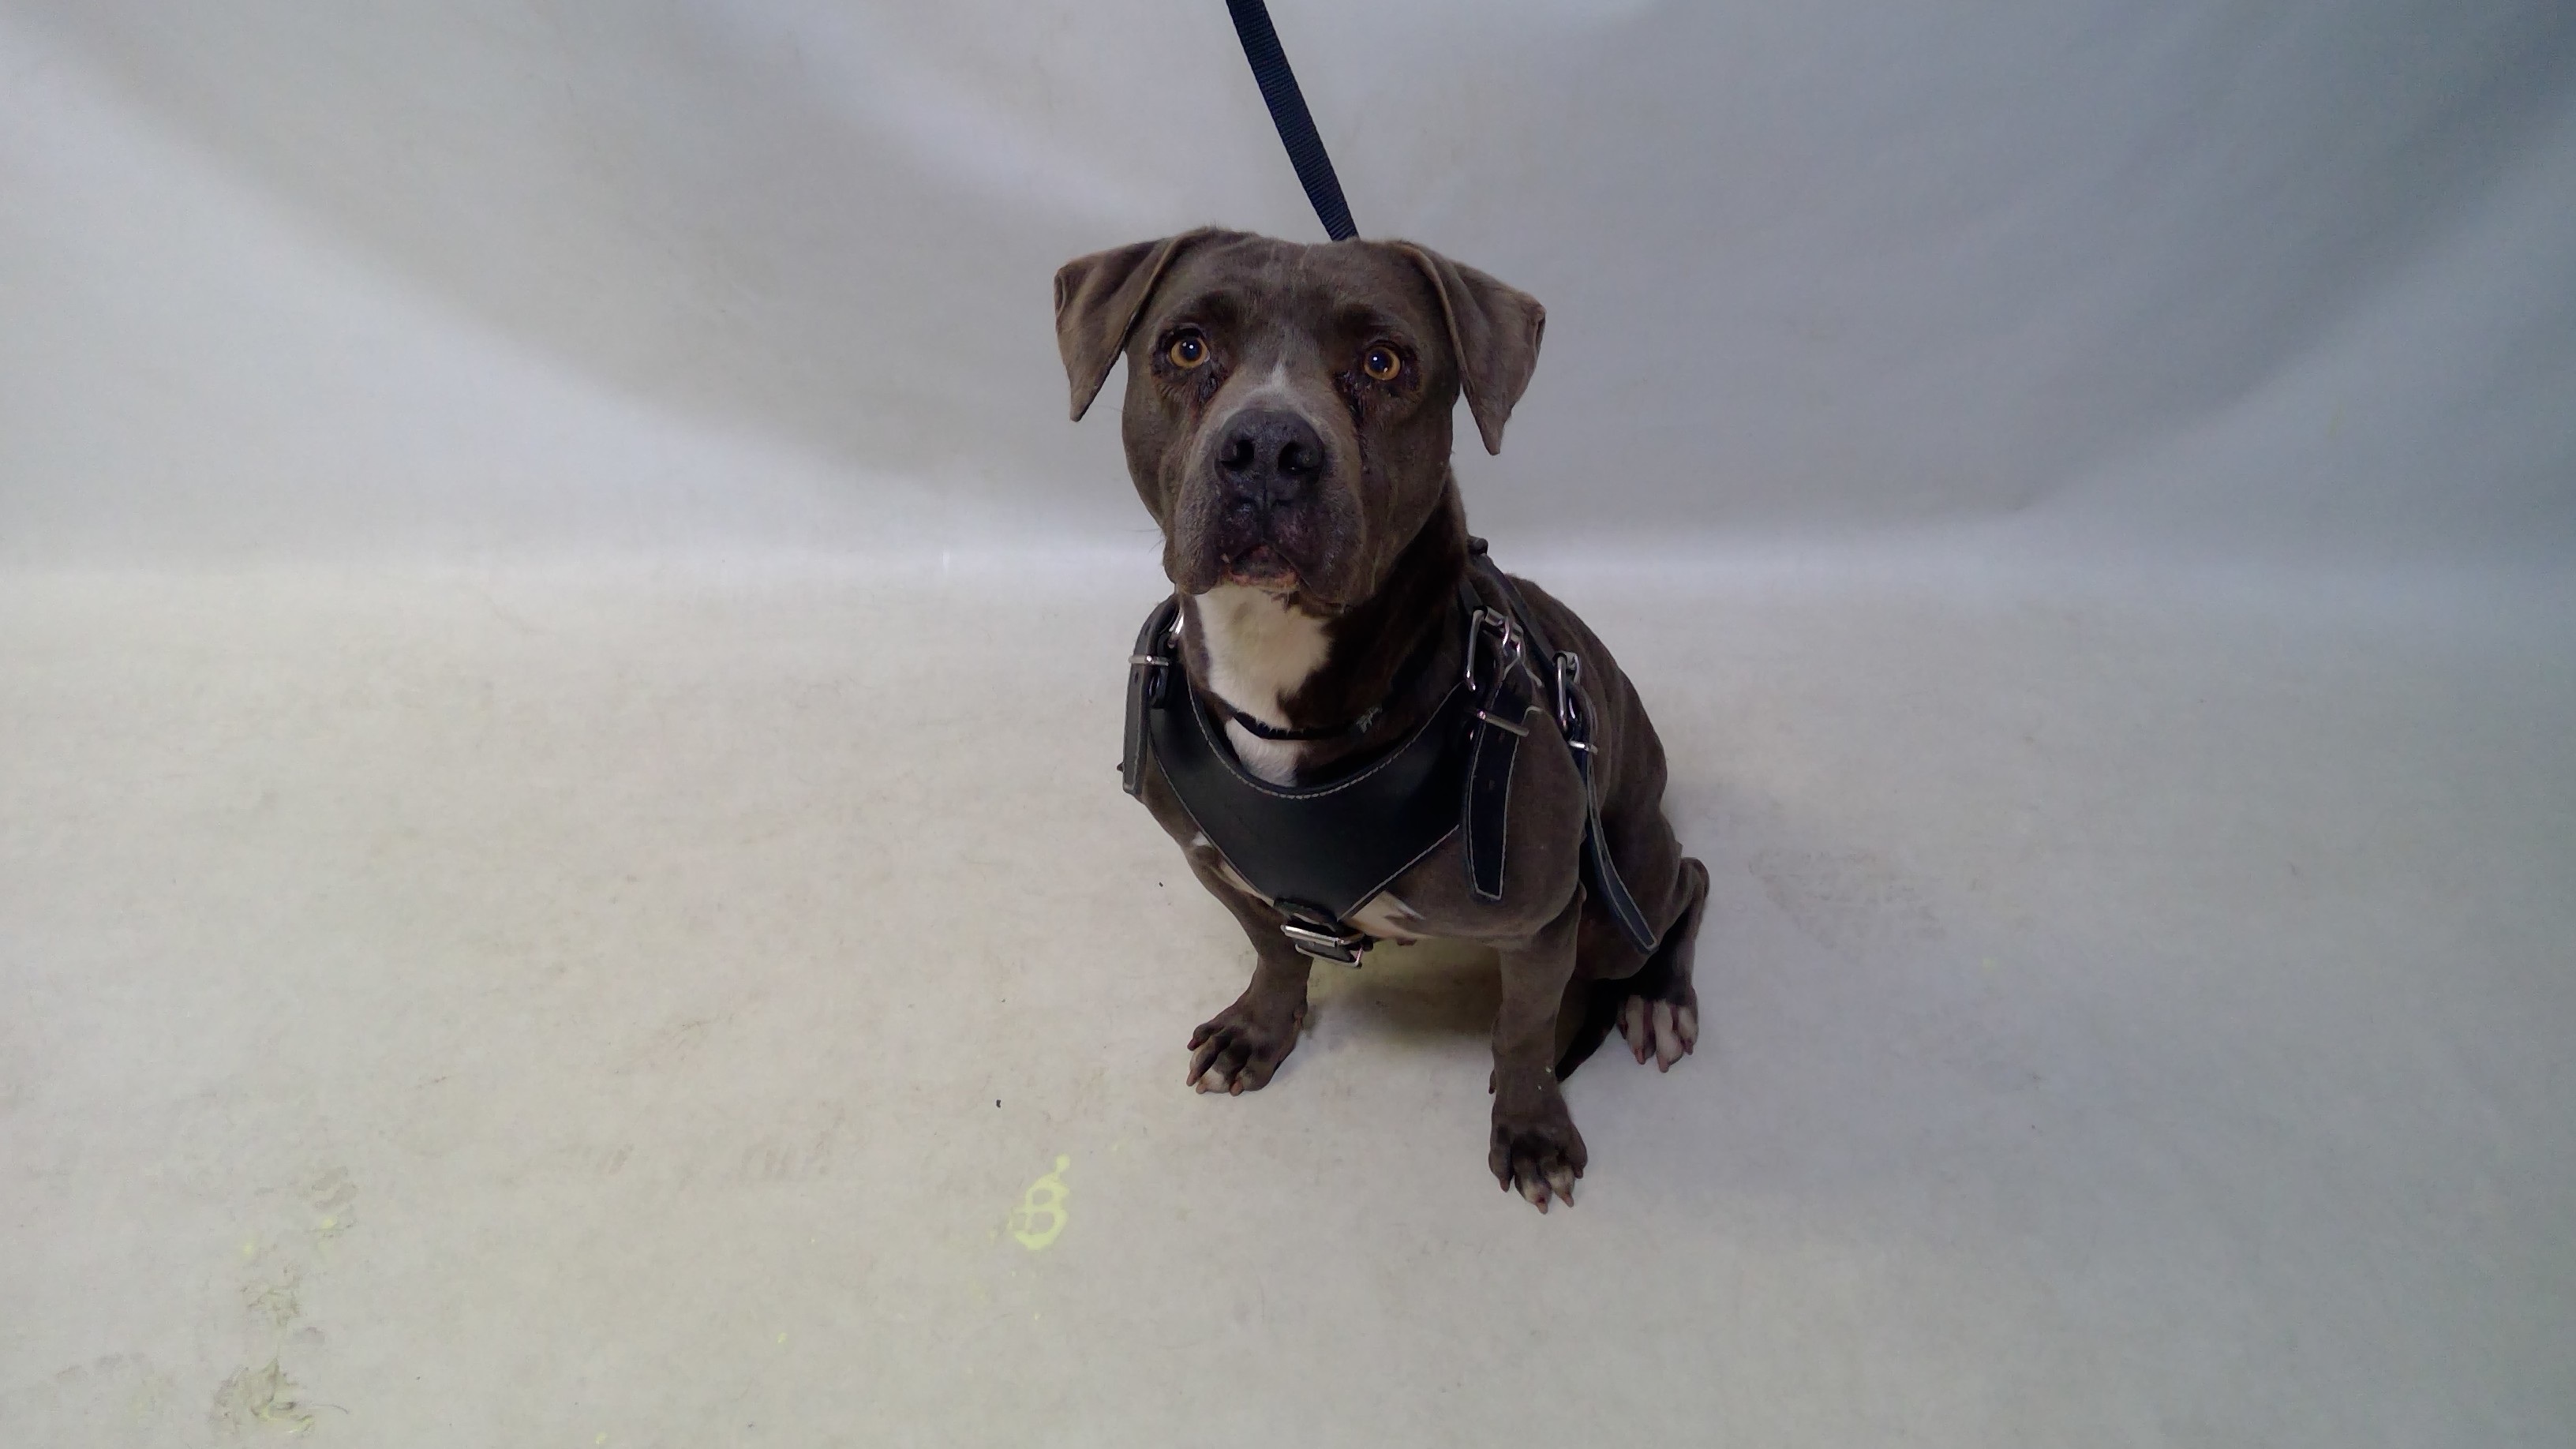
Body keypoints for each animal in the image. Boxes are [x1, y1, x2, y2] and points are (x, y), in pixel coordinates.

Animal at [1054, 230, 1709, 1212]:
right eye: (1187, 346)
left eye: (1382, 362)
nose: (1269, 445)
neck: (1277, 668)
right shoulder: (1219, 868)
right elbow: (1276, 952)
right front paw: (1259, 1031)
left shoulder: (1541, 922)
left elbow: (1522, 1032)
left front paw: (1531, 1128)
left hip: (1618, 886)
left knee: (1687, 887)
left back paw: (1660, 996)